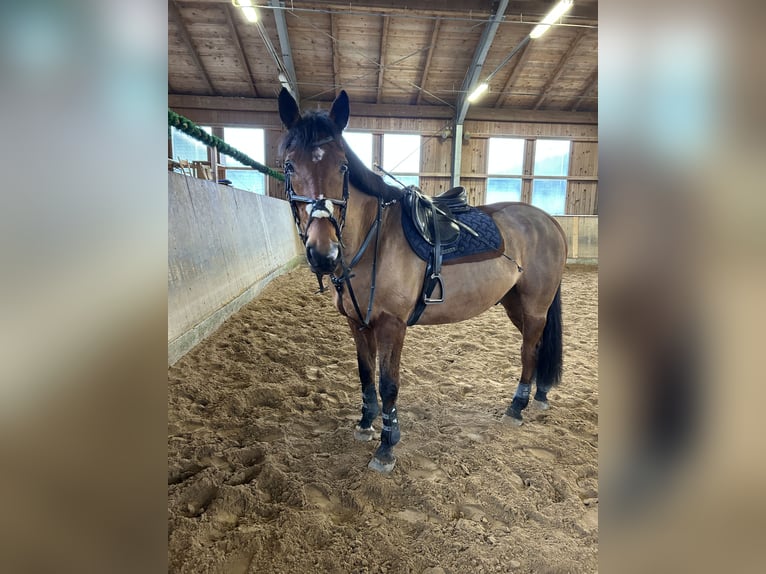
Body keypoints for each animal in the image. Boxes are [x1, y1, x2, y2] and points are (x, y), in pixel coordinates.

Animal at [278, 88, 567, 473]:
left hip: (535, 306)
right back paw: (540, 394)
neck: (375, 238)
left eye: (342, 166)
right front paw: (366, 424)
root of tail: (548, 221)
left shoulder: (391, 324)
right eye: (290, 165)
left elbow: (388, 384)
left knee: (529, 350)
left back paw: (517, 408)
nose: (323, 253)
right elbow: (365, 374)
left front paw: (387, 446)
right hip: (515, 304)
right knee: (537, 348)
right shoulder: (357, 323)